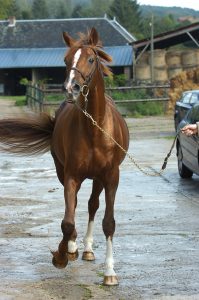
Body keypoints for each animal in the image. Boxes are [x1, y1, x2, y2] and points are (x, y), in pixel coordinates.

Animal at [0, 27, 129, 284]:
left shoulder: (111, 177)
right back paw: (74, 247)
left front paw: (110, 272)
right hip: (66, 173)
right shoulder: (71, 176)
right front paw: (62, 254)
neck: (95, 128)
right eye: (66, 60)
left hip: (98, 179)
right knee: (78, 205)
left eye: (91, 59)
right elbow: (67, 222)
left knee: (92, 205)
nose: (72, 88)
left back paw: (88, 249)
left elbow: (109, 223)